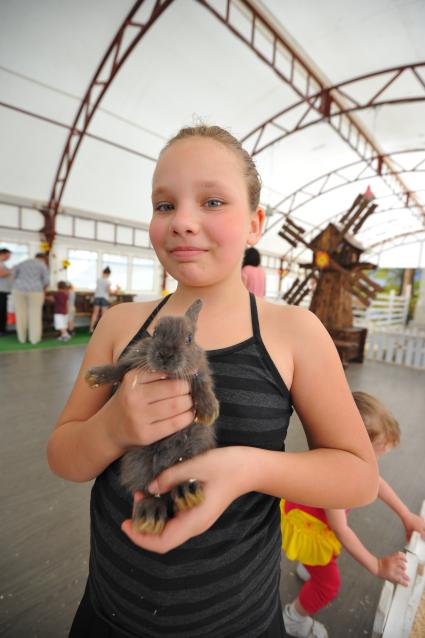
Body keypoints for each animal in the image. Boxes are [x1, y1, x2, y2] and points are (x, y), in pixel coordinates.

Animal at [85, 300, 219, 536]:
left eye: (189, 338)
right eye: (156, 332)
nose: (165, 354)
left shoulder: (199, 371)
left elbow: (202, 385)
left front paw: (208, 412)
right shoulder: (134, 358)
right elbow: (119, 368)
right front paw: (95, 376)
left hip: (190, 452)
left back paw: (187, 492)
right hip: (139, 463)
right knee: (150, 491)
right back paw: (151, 516)